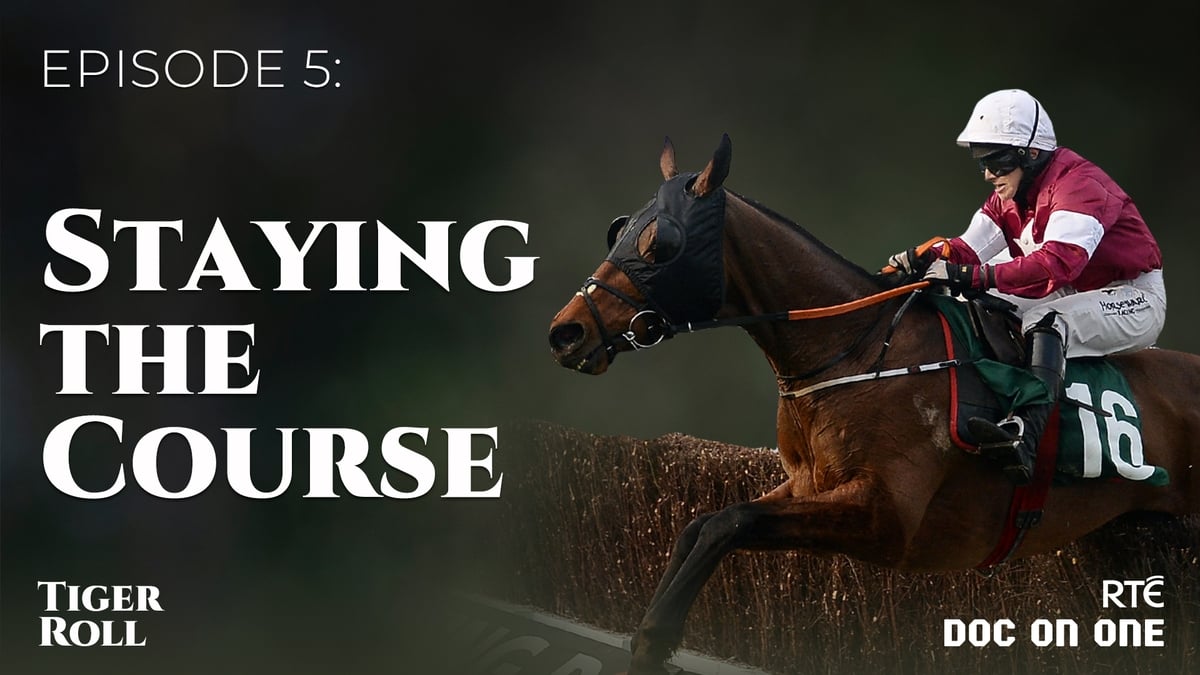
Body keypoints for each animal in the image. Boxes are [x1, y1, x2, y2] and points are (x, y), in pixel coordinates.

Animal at [547, 135, 1200, 675]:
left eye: (661, 243)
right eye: (618, 229)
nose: (566, 332)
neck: (853, 348)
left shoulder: (886, 518)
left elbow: (729, 523)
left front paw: (654, 643)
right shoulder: (809, 484)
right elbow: (701, 524)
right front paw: (649, 637)